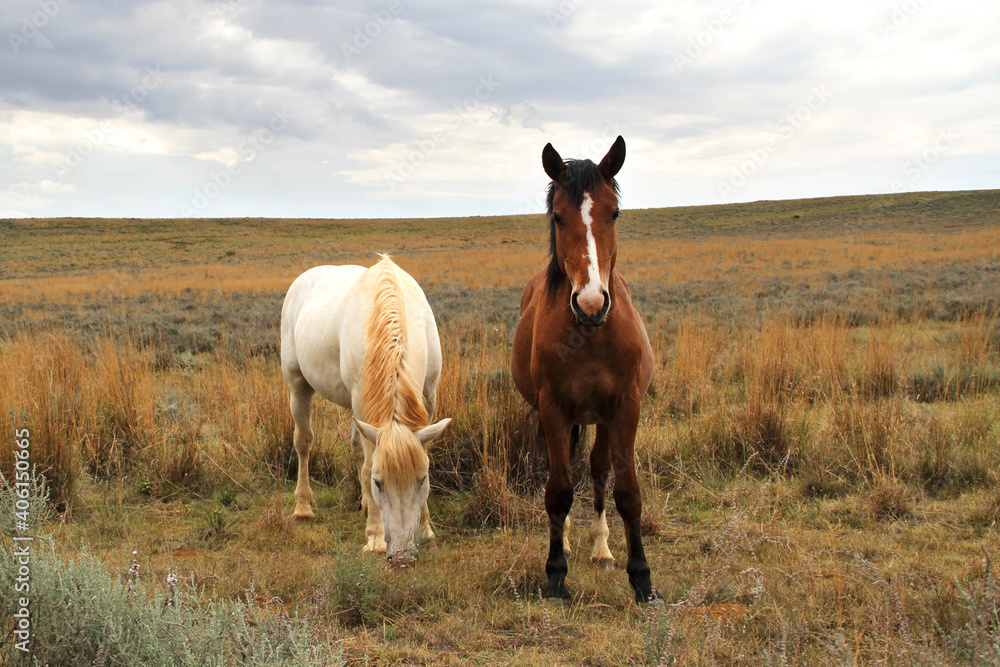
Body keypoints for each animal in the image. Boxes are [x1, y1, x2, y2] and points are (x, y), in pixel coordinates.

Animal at [282, 258, 454, 564]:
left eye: (422, 479)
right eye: (379, 482)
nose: (402, 557)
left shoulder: (427, 399)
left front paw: (426, 530)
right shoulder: (362, 403)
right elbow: (366, 466)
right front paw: (374, 537)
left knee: (354, 448)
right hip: (298, 384)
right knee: (303, 442)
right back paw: (303, 508)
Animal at [516, 136, 656, 604]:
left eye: (614, 212)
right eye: (558, 216)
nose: (591, 302)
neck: (589, 336)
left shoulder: (626, 407)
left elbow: (627, 491)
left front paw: (642, 577)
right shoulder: (554, 409)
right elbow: (558, 491)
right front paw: (555, 573)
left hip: (604, 418)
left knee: (598, 471)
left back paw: (601, 548)